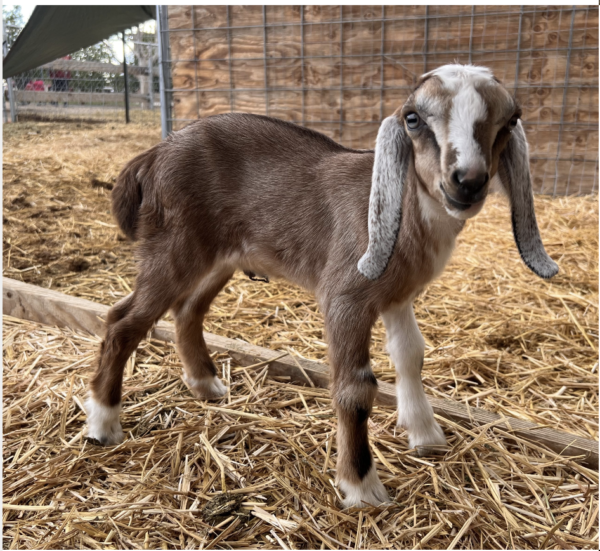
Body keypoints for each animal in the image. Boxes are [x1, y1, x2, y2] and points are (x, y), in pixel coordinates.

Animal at [85, 64, 556, 508]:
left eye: (510, 121)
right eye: (413, 118)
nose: (468, 181)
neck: (406, 210)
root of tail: (155, 152)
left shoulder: (397, 295)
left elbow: (410, 356)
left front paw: (425, 435)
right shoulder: (346, 297)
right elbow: (356, 387)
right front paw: (361, 486)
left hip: (220, 257)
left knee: (188, 310)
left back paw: (205, 384)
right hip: (174, 246)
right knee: (123, 320)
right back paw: (103, 423)